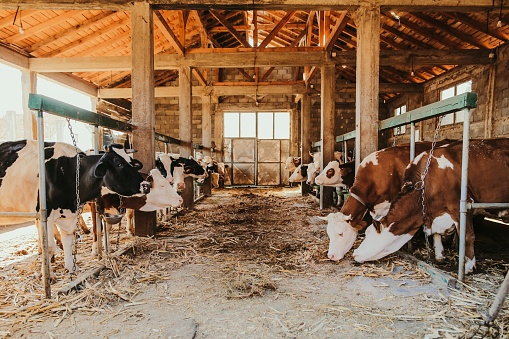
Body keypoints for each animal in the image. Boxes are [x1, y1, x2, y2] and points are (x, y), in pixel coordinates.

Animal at [0, 141, 150, 276]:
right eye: (118, 163)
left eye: (131, 162)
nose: (146, 185)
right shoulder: (47, 214)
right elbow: (52, 245)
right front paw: (49, 275)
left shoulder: (71, 213)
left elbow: (69, 240)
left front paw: (71, 267)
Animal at [352, 137, 508, 274]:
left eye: (368, 234)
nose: (354, 253)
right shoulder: (433, 213)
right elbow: (435, 233)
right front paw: (440, 255)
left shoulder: (462, 205)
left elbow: (468, 236)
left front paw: (469, 266)